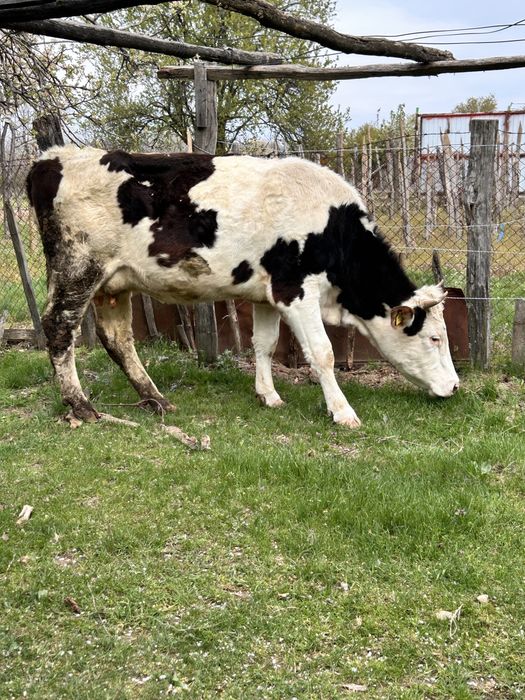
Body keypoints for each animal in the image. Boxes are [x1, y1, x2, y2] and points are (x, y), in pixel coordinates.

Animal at [27, 145, 459, 428]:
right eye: (435, 338)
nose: (455, 386)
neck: (334, 228)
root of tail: (51, 159)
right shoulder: (296, 291)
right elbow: (323, 354)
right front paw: (342, 412)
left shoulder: (267, 294)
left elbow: (264, 344)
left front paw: (268, 394)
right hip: (78, 268)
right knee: (59, 328)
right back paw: (81, 405)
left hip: (114, 283)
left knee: (117, 338)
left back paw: (155, 399)